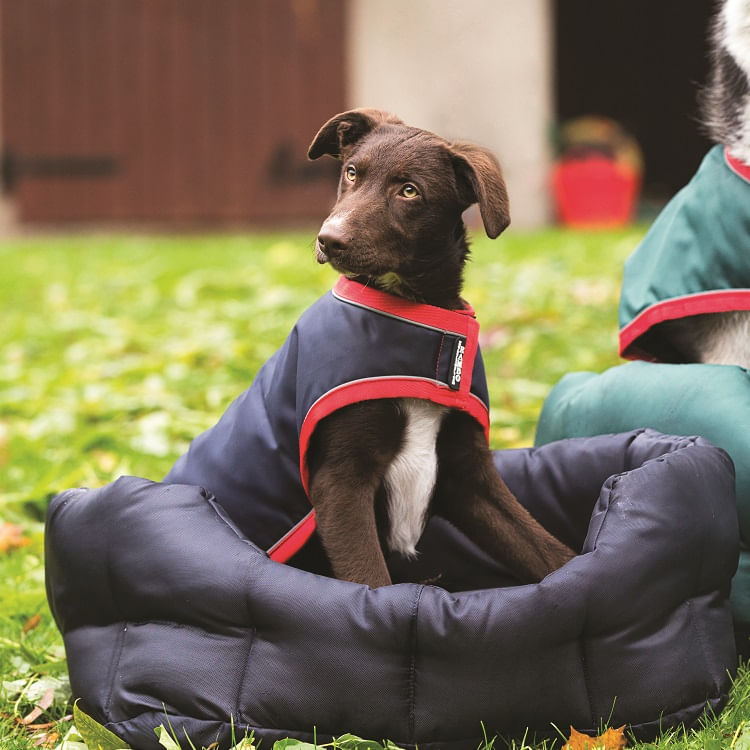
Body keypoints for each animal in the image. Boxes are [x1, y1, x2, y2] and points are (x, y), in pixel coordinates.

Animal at [306, 110, 576, 588]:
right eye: (352, 173)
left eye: (409, 190)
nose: (328, 240)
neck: (414, 317)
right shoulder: (340, 482)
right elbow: (368, 581)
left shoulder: (469, 474)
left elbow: (549, 553)